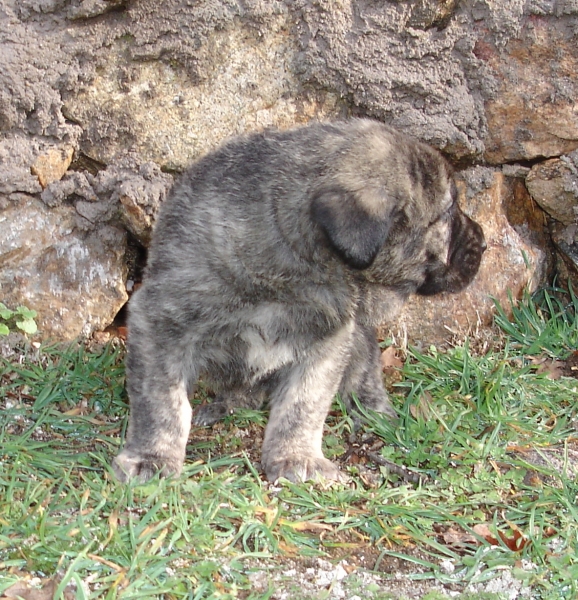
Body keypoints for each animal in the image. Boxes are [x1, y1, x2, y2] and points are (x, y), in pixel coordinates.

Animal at [110, 119, 484, 486]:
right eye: (448, 213)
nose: (482, 241)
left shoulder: (329, 340)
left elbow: (303, 404)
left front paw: (296, 457)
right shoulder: (160, 321)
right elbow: (162, 401)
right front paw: (152, 456)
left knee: (364, 368)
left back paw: (373, 410)